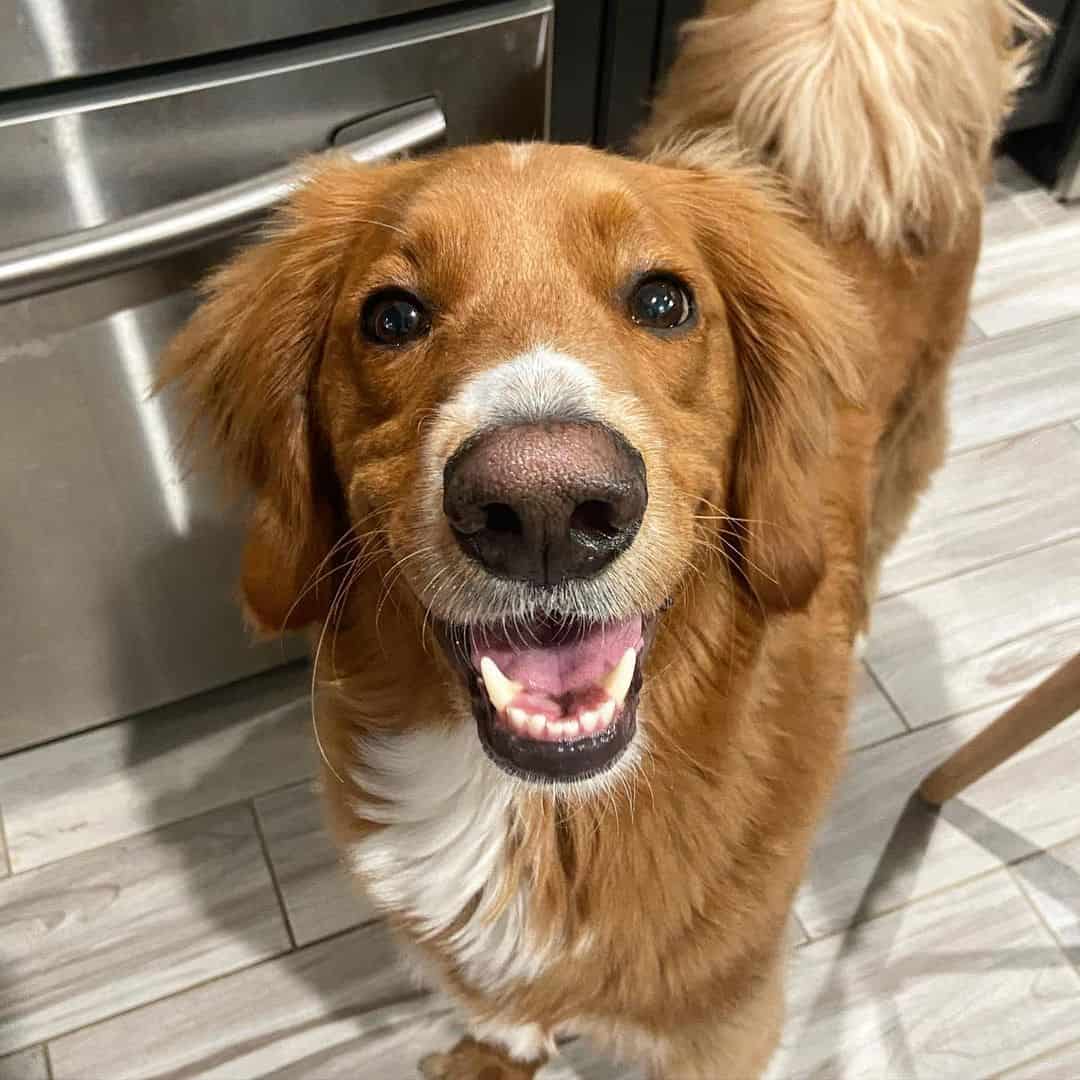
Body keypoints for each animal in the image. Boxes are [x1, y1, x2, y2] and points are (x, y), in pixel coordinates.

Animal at [159, 4, 1036, 1075]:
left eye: (664, 300)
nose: (544, 509)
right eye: (391, 315)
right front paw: (485, 1058)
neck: (546, 815)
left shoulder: (723, 1024)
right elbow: (500, 1019)